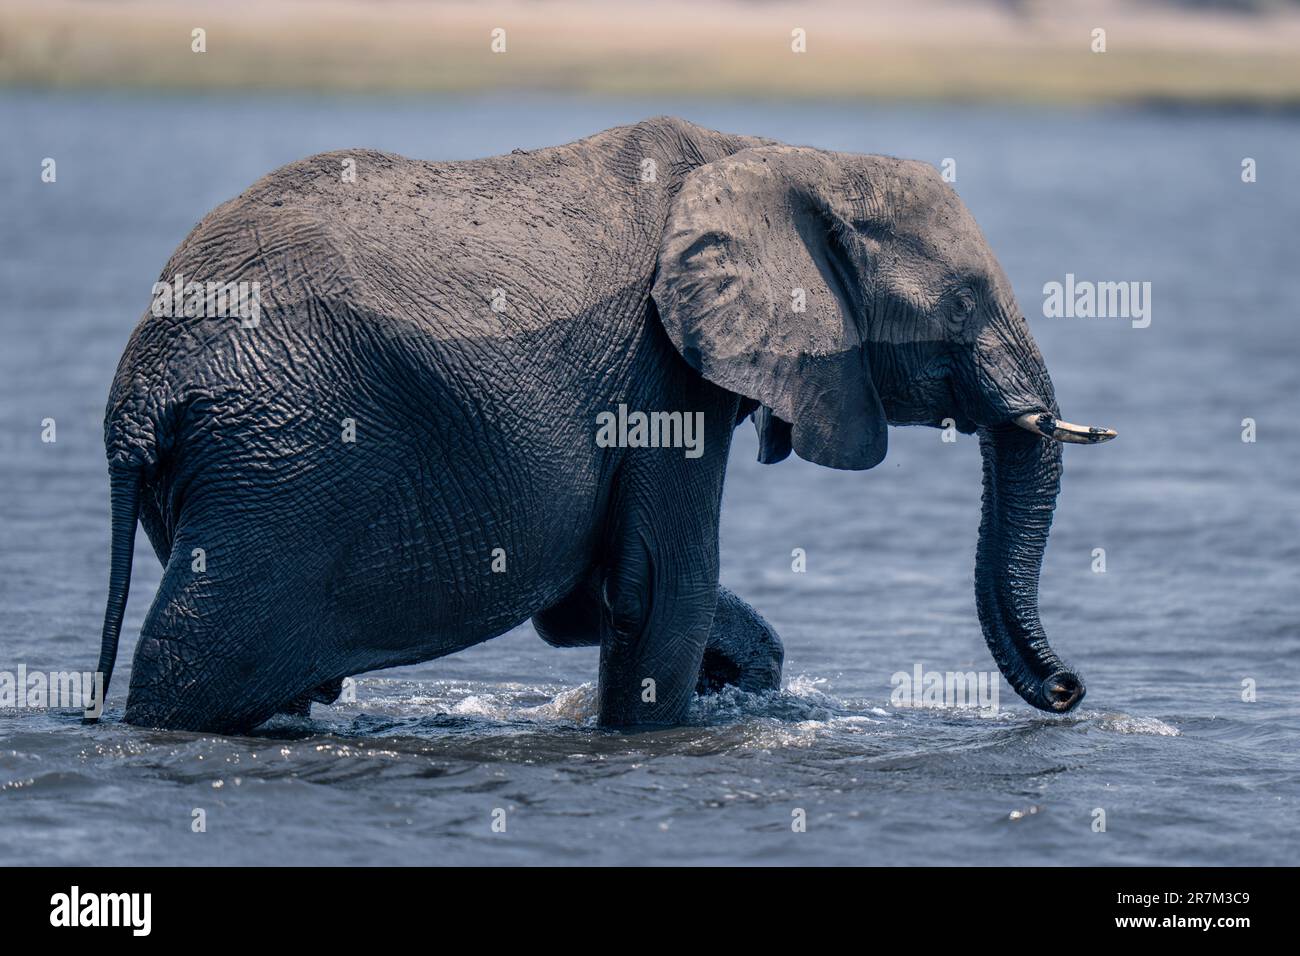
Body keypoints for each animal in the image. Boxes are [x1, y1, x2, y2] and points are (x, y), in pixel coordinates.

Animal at [92, 116, 1113, 734]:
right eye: (966, 299)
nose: (1070, 688)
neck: (781, 154)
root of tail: (139, 388)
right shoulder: (662, 370)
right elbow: (664, 586)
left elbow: (595, 593)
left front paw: (737, 682)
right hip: (283, 462)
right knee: (191, 660)